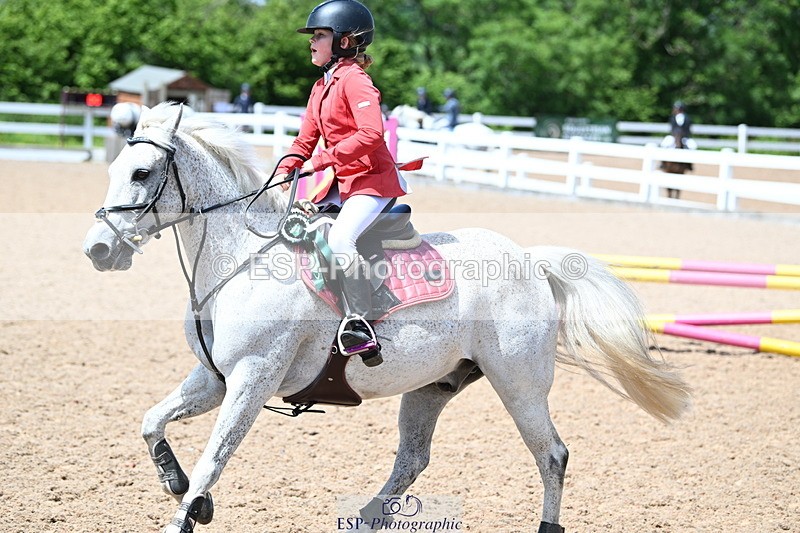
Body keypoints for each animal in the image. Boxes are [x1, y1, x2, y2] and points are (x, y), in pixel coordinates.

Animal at [82, 102, 691, 533]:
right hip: (432, 385)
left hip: (518, 382)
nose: (98, 250)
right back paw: (365, 518)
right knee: (413, 459)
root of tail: (529, 259)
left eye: (142, 173)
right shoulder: (214, 378)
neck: (239, 259)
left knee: (552, 455)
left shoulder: (252, 378)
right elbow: (152, 422)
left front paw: (185, 513)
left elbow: (215, 456)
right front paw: (177, 484)